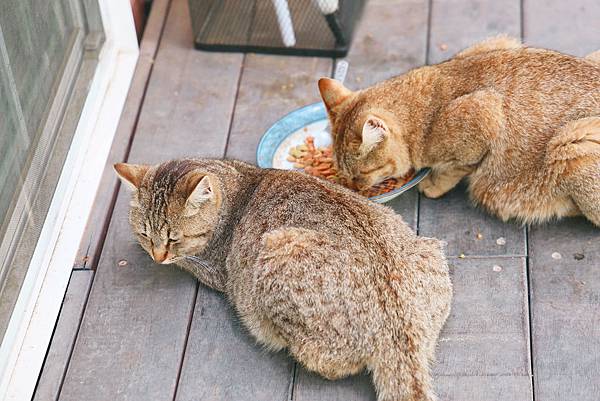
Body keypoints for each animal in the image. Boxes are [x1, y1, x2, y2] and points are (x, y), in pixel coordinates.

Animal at [113, 158, 450, 400]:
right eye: (145, 233)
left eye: (174, 239)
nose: (157, 255)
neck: (237, 183)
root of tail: (399, 327)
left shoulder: (214, 268)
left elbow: (187, 262)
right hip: (430, 250)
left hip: (277, 249)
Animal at [318, 36, 600, 225]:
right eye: (343, 175)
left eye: (361, 175)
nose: (355, 190)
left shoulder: (485, 112)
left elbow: (454, 169)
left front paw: (433, 184)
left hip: (572, 143)